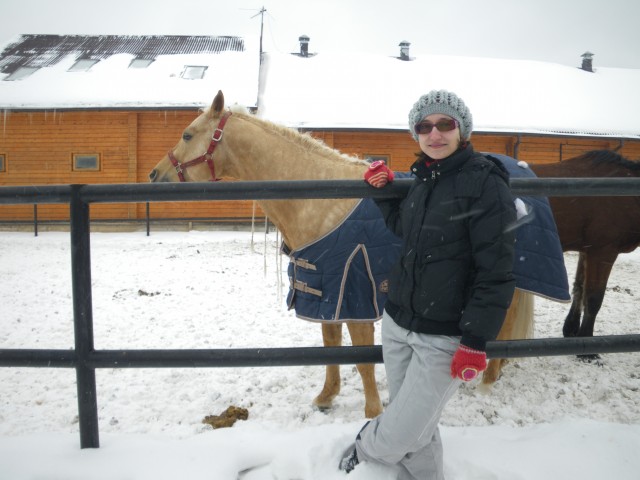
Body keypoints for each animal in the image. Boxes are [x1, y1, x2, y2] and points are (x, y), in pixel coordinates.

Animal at [150, 92, 544, 418]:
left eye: (188, 135)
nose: (155, 175)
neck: (320, 198)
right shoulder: (326, 290)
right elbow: (331, 345)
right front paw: (327, 397)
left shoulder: (356, 292)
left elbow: (363, 359)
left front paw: (372, 412)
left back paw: (487, 378)